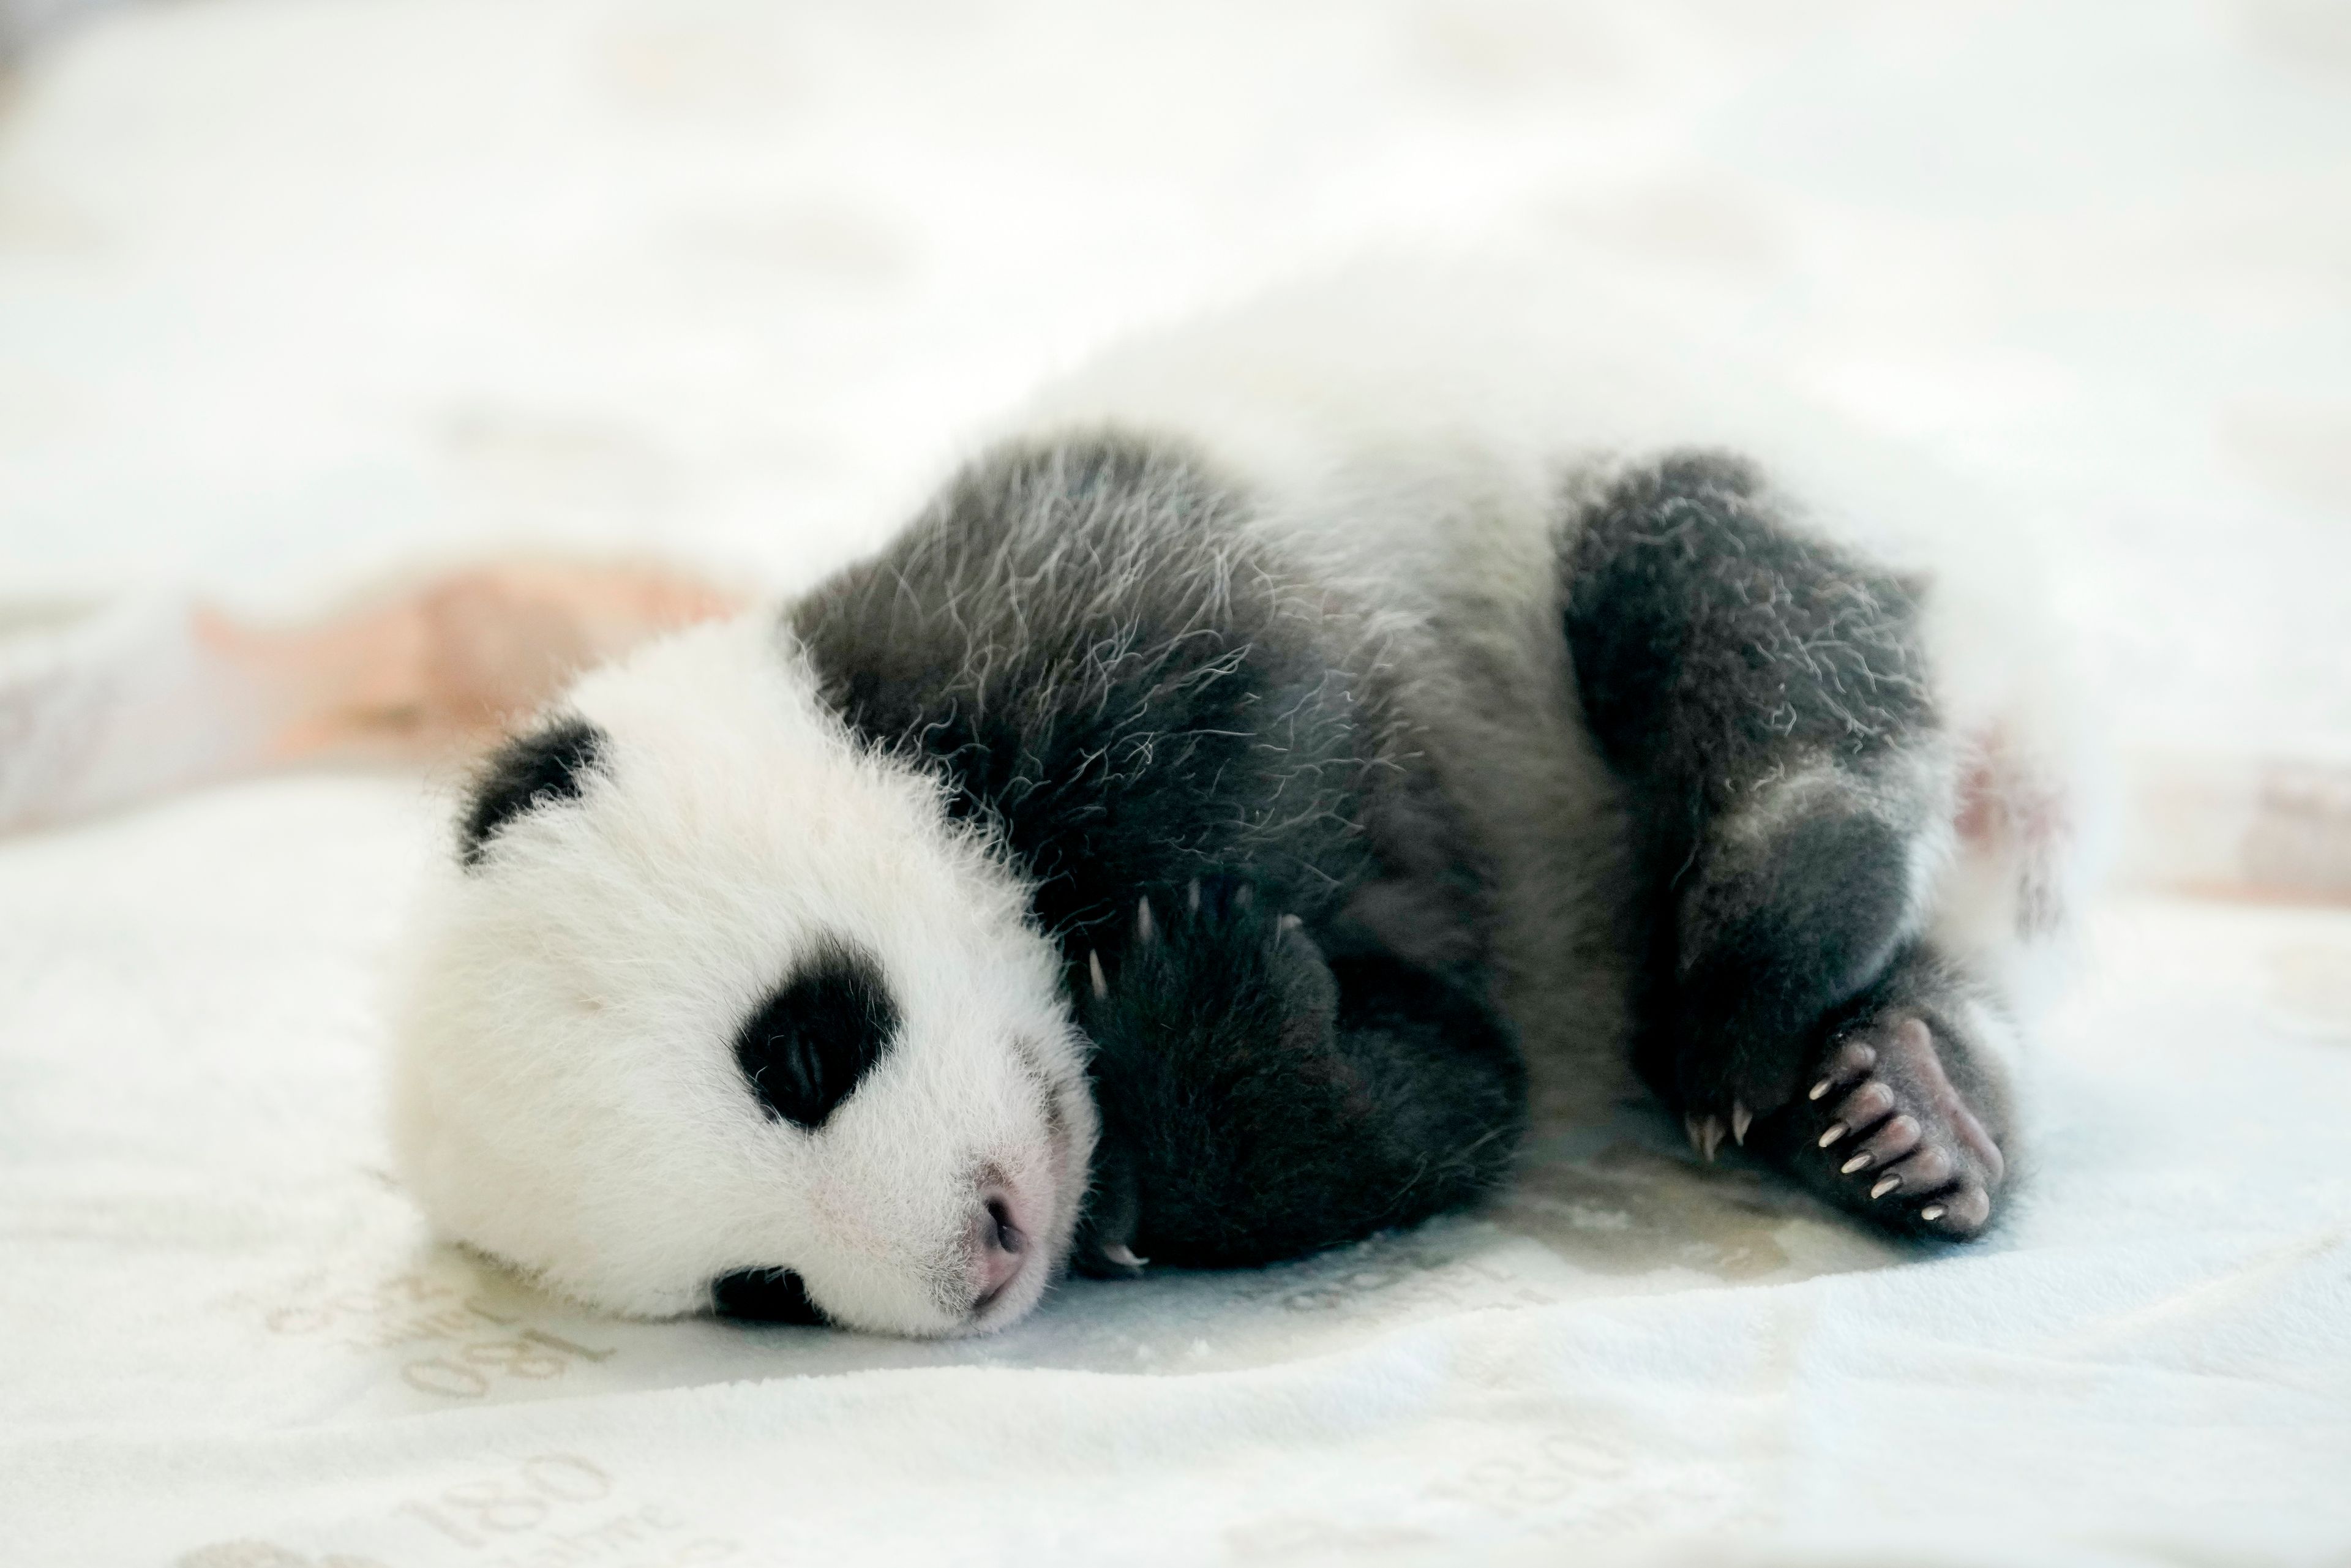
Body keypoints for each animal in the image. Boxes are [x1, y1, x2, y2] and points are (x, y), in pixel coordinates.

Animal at [390, 266, 2097, 1335]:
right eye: (761, 1288)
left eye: (801, 1047)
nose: (985, 1255)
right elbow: (1433, 1110)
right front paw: (1217, 1043)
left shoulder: (1053, 578)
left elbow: (1259, 690)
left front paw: (1180, 950)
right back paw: (1902, 1108)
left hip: (1640, 459)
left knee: (1735, 611)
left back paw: (1765, 959)